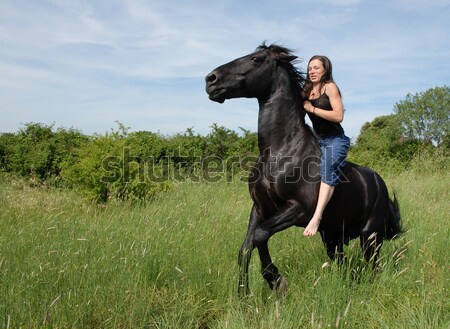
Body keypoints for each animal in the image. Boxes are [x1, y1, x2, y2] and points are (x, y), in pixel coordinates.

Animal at [204, 43, 400, 294]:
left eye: (257, 59)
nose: (211, 79)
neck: (279, 152)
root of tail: (379, 182)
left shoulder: (300, 208)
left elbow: (260, 235)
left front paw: (276, 282)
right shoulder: (260, 208)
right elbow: (246, 248)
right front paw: (243, 295)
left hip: (370, 235)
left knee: (373, 264)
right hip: (333, 236)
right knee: (344, 262)